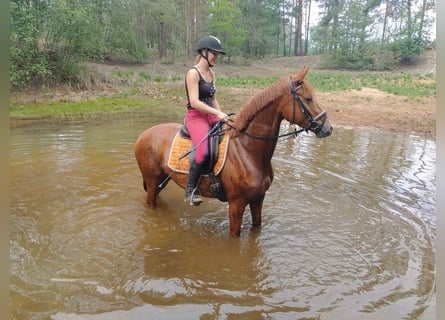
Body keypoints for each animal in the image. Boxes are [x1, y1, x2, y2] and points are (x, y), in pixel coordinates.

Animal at [134, 66, 332, 236]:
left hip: (162, 179)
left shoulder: (259, 199)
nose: (328, 128)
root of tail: (143, 135)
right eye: (308, 98)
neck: (247, 151)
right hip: (152, 181)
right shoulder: (236, 204)